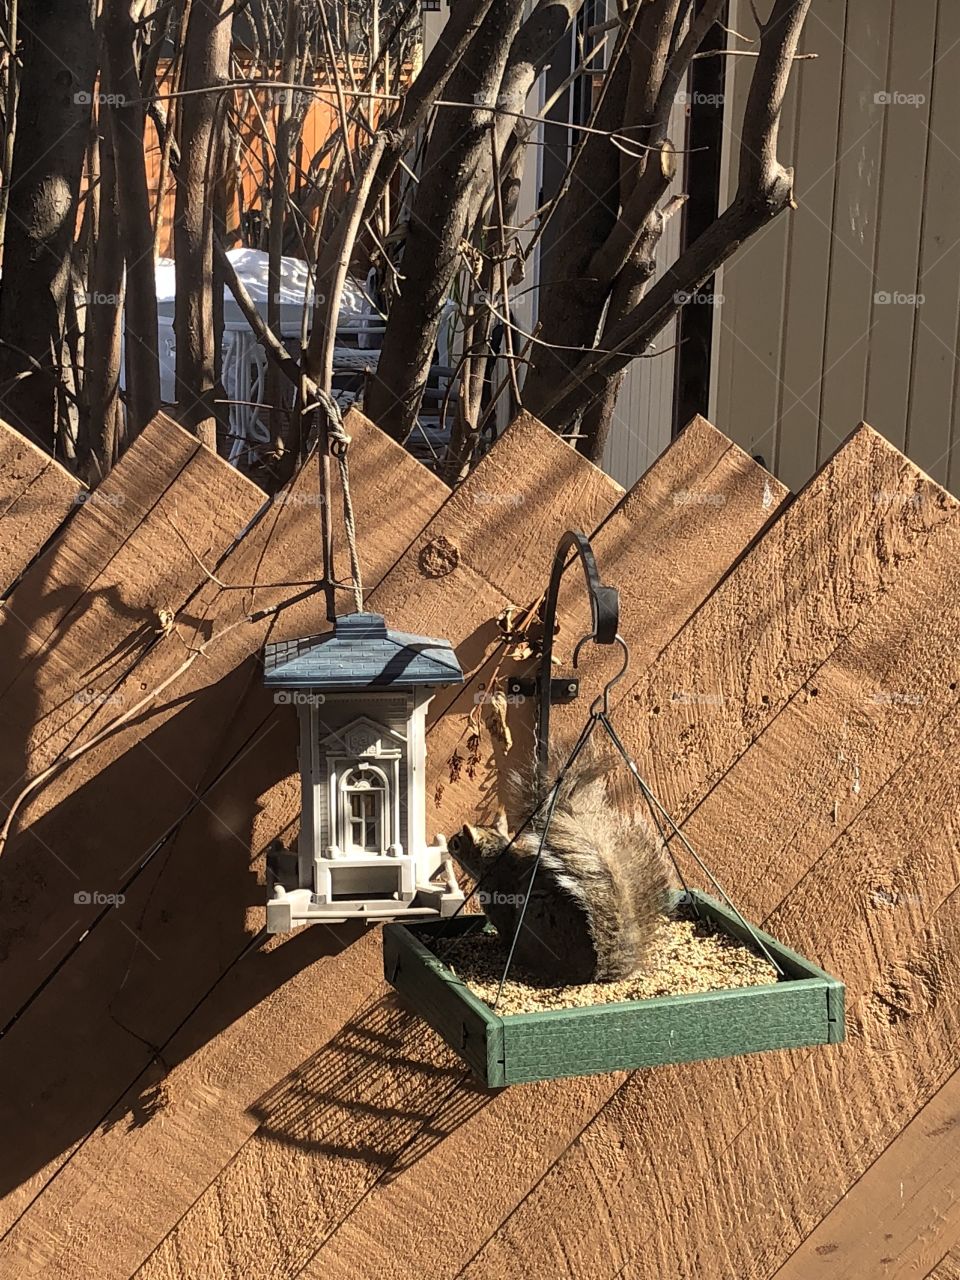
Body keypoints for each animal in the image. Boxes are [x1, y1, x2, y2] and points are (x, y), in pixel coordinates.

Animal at [446, 743, 673, 985]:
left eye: (457, 843)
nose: (449, 842)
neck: (494, 860)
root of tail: (591, 974)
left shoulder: (498, 903)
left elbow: (504, 930)